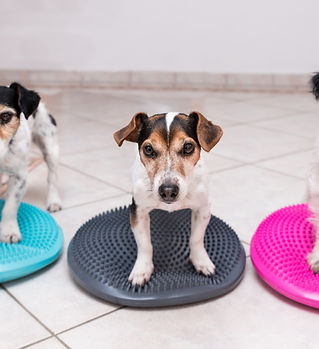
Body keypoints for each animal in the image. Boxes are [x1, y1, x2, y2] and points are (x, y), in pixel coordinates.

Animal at [0, 83, 62, 243]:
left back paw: (53, 201)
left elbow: (10, 206)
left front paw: (9, 232)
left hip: (50, 148)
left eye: (6, 116)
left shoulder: (20, 177)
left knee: (52, 178)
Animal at [114, 111, 222, 286]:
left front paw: (201, 261)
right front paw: (142, 269)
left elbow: (196, 238)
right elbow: (144, 244)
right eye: (148, 149)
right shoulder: (138, 211)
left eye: (188, 147)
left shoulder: (203, 209)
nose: (169, 191)